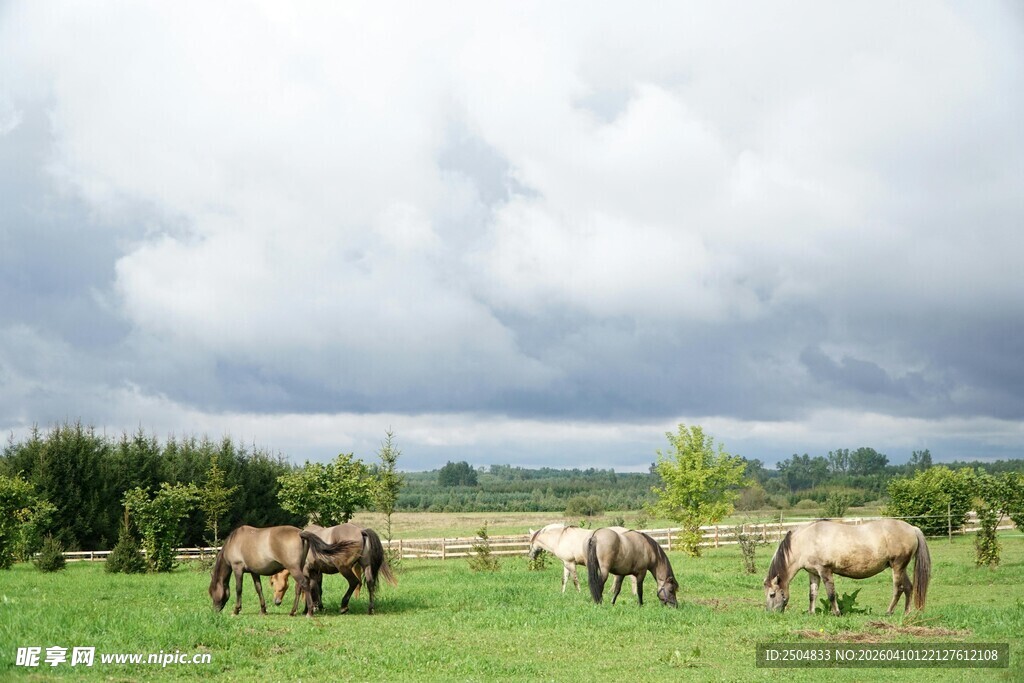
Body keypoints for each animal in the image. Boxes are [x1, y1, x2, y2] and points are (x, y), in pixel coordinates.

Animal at [208, 524, 359, 617]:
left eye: (211, 592)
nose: (215, 610)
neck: (234, 542)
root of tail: (301, 534)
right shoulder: (254, 572)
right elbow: (259, 589)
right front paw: (263, 610)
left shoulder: (237, 568)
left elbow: (239, 589)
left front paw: (236, 610)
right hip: (299, 568)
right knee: (300, 587)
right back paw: (293, 611)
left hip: (294, 568)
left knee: (304, 584)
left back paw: (309, 612)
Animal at [763, 519, 931, 616]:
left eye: (772, 594)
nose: (770, 613)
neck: (806, 540)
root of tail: (912, 528)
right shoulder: (814, 573)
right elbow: (812, 594)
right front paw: (811, 613)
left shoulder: (825, 571)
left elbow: (831, 594)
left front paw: (836, 613)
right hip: (901, 568)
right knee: (909, 587)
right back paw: (906, 613)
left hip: (897, 567)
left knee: (898, 589)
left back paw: (889, 612)